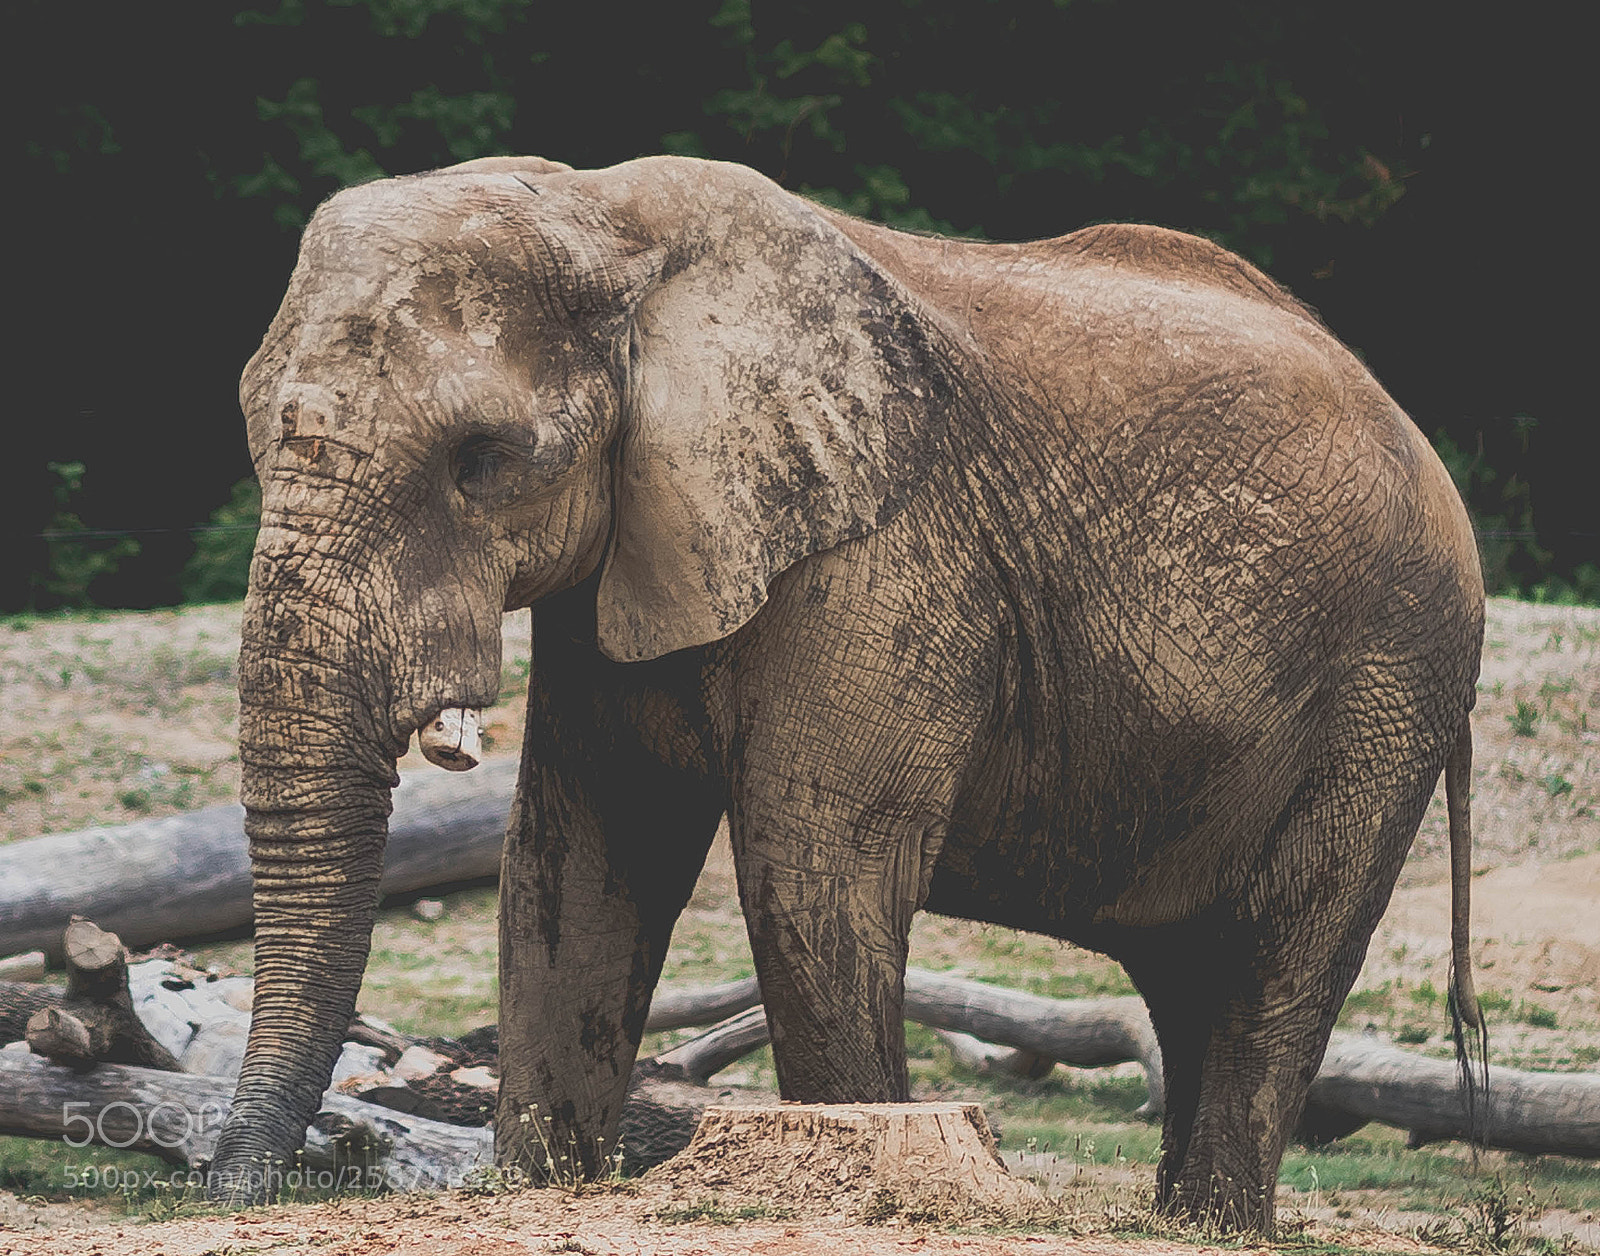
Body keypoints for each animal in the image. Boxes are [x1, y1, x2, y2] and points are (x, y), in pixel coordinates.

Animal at [208, 153, 1485, 1229]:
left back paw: (1215, 1220)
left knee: (1277, 956)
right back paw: (1186, 1220)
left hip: (1390, 679)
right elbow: (574, 858)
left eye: (483, 461)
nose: (236, 1185)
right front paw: (540, 1183)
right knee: (1187, 973)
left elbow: (815, 862)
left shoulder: (885, 554)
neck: (608, 215)